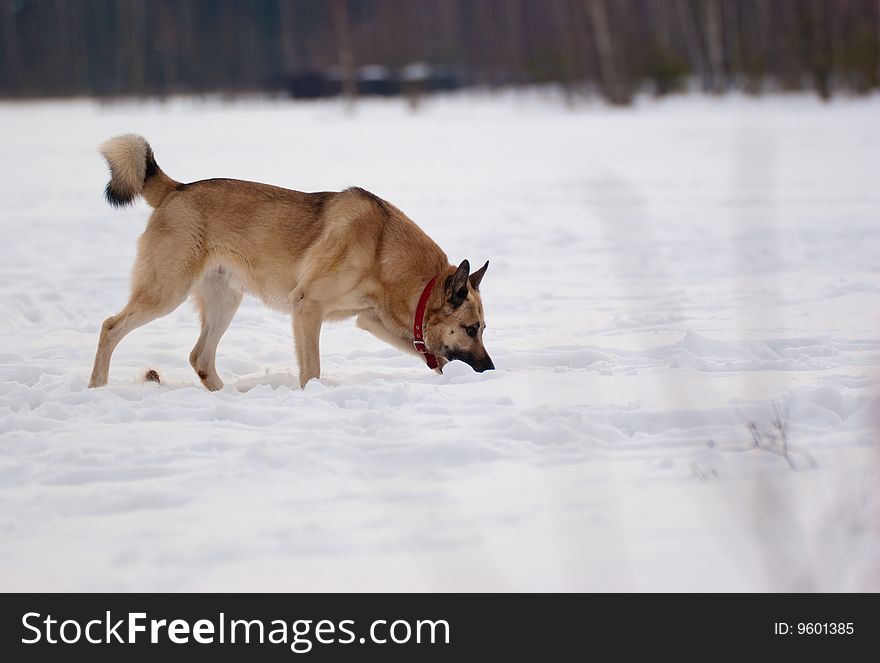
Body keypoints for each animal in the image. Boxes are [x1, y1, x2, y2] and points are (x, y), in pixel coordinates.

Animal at [87, 136, 496, 392]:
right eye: (471, 329)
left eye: (482, 329)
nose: (490, 369)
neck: (382, 250)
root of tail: (176, 188)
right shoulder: (308, 307)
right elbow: (312, 369)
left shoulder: (371, 319)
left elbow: (431, 355)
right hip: (166, 292)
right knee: (110, 327)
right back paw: (97, 387)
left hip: (224, 300)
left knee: (200, 356)